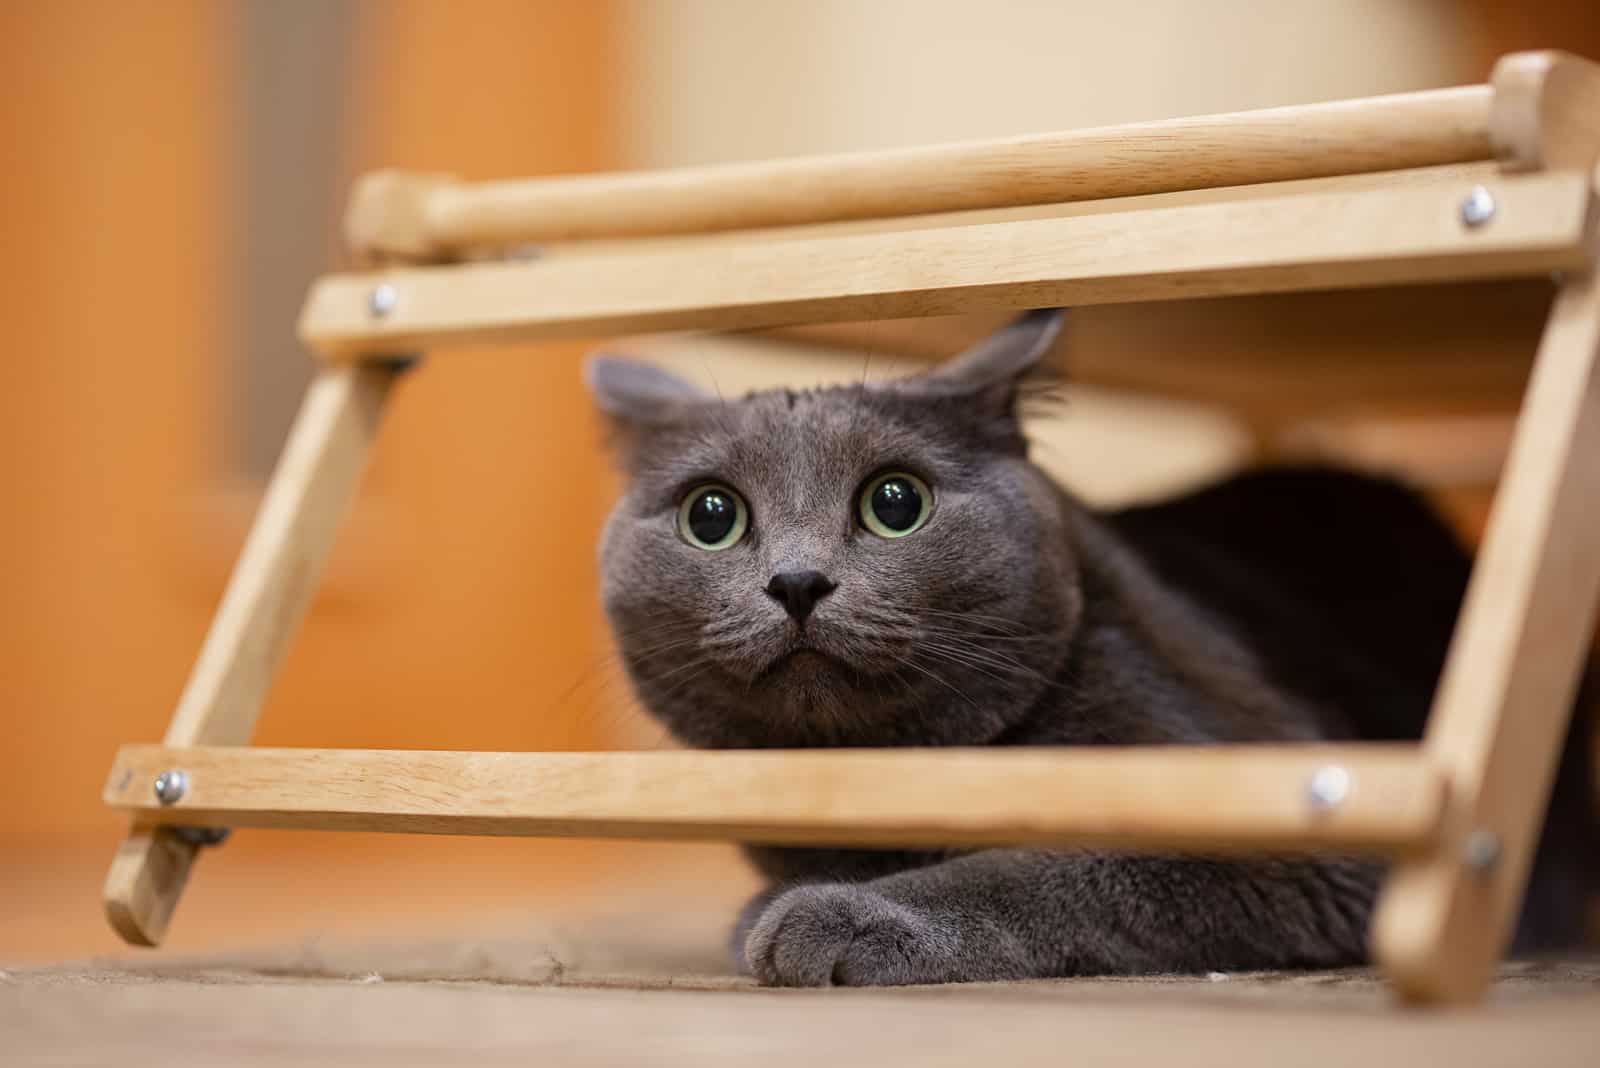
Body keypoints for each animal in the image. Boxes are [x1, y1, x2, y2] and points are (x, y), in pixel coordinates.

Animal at [592, 313, 1600, 991]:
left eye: (895, 502)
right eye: (712, 516)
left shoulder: (1302, 838)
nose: (798, 582)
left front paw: (835, 916)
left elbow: (1053, 867)